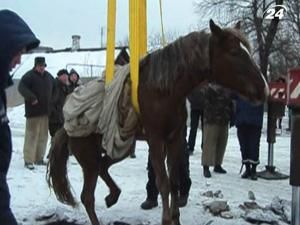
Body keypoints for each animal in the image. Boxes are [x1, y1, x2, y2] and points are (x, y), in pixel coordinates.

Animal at [47, 19, 270, 225]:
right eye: (234, 52)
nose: (264, 88)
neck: (165, 89)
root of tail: (65, 128)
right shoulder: (156, 140)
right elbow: (162, 182)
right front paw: (166, 219)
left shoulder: (174, 140)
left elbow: (174, 182)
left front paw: (175, 218)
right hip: (89, 159)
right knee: (87, 196)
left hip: (121, 147)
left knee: (102, 169)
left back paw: (113, 196)